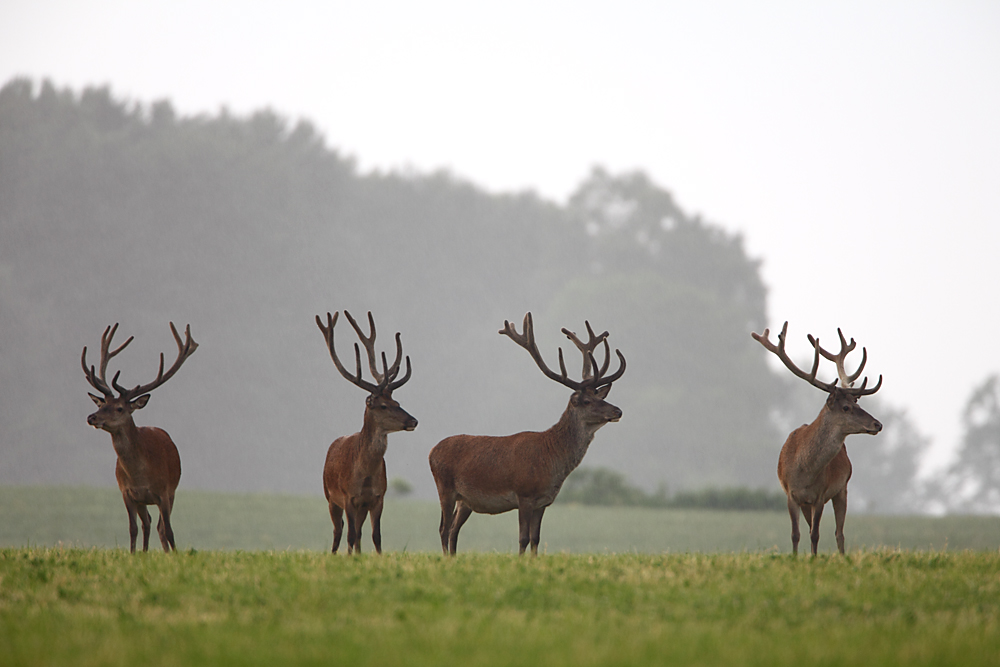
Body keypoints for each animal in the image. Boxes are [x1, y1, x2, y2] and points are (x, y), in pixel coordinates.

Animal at [84, 324, 199, 552]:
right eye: (101, 405)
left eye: (120, 408)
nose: (92, 417)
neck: (139, 475)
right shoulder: (127, 493)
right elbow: (133, 529)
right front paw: (133, 554)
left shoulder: (164, 492)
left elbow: (169, 530)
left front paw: (176, 554)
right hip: (142, 501)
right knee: (147, 523)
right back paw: (145, 552)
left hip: (171, 491)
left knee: (160, 527)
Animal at [316, 310, 418, 556]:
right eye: (382, 405)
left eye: (397, 402)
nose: (413, 420)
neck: (365, 474)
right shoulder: (348, 496)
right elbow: (350, 534)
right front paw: (350, 559)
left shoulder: (377, 498)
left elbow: (376, 535)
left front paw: (375, 558)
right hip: (329, 496)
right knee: (339, 531)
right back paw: (335, 554)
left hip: (358, 506)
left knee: (358, 532)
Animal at [430, 316, 624, 556]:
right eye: (587, 401)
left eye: (601, 397)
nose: (618, 411)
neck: (551, 459)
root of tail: (431, 451)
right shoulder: (524, 494)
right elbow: (522, 537)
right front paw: (520, 560)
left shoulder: (543, 502)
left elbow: (535, 538)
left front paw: (533, 560)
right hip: (444, 487)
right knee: (444, 528)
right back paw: (446, 557)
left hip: (464, 500)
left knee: (454, 529)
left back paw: (453, 558)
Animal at [752, 320, 884, 556]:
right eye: (846, 407)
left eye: (858, 403)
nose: (877, 424)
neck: (805, 470)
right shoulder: (791, 495)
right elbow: (796, 534)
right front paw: (795, 558)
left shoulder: (820, 495)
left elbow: (815, 534)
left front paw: (814, 559)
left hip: (843, 489)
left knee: (839, 533)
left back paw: (842, 556)